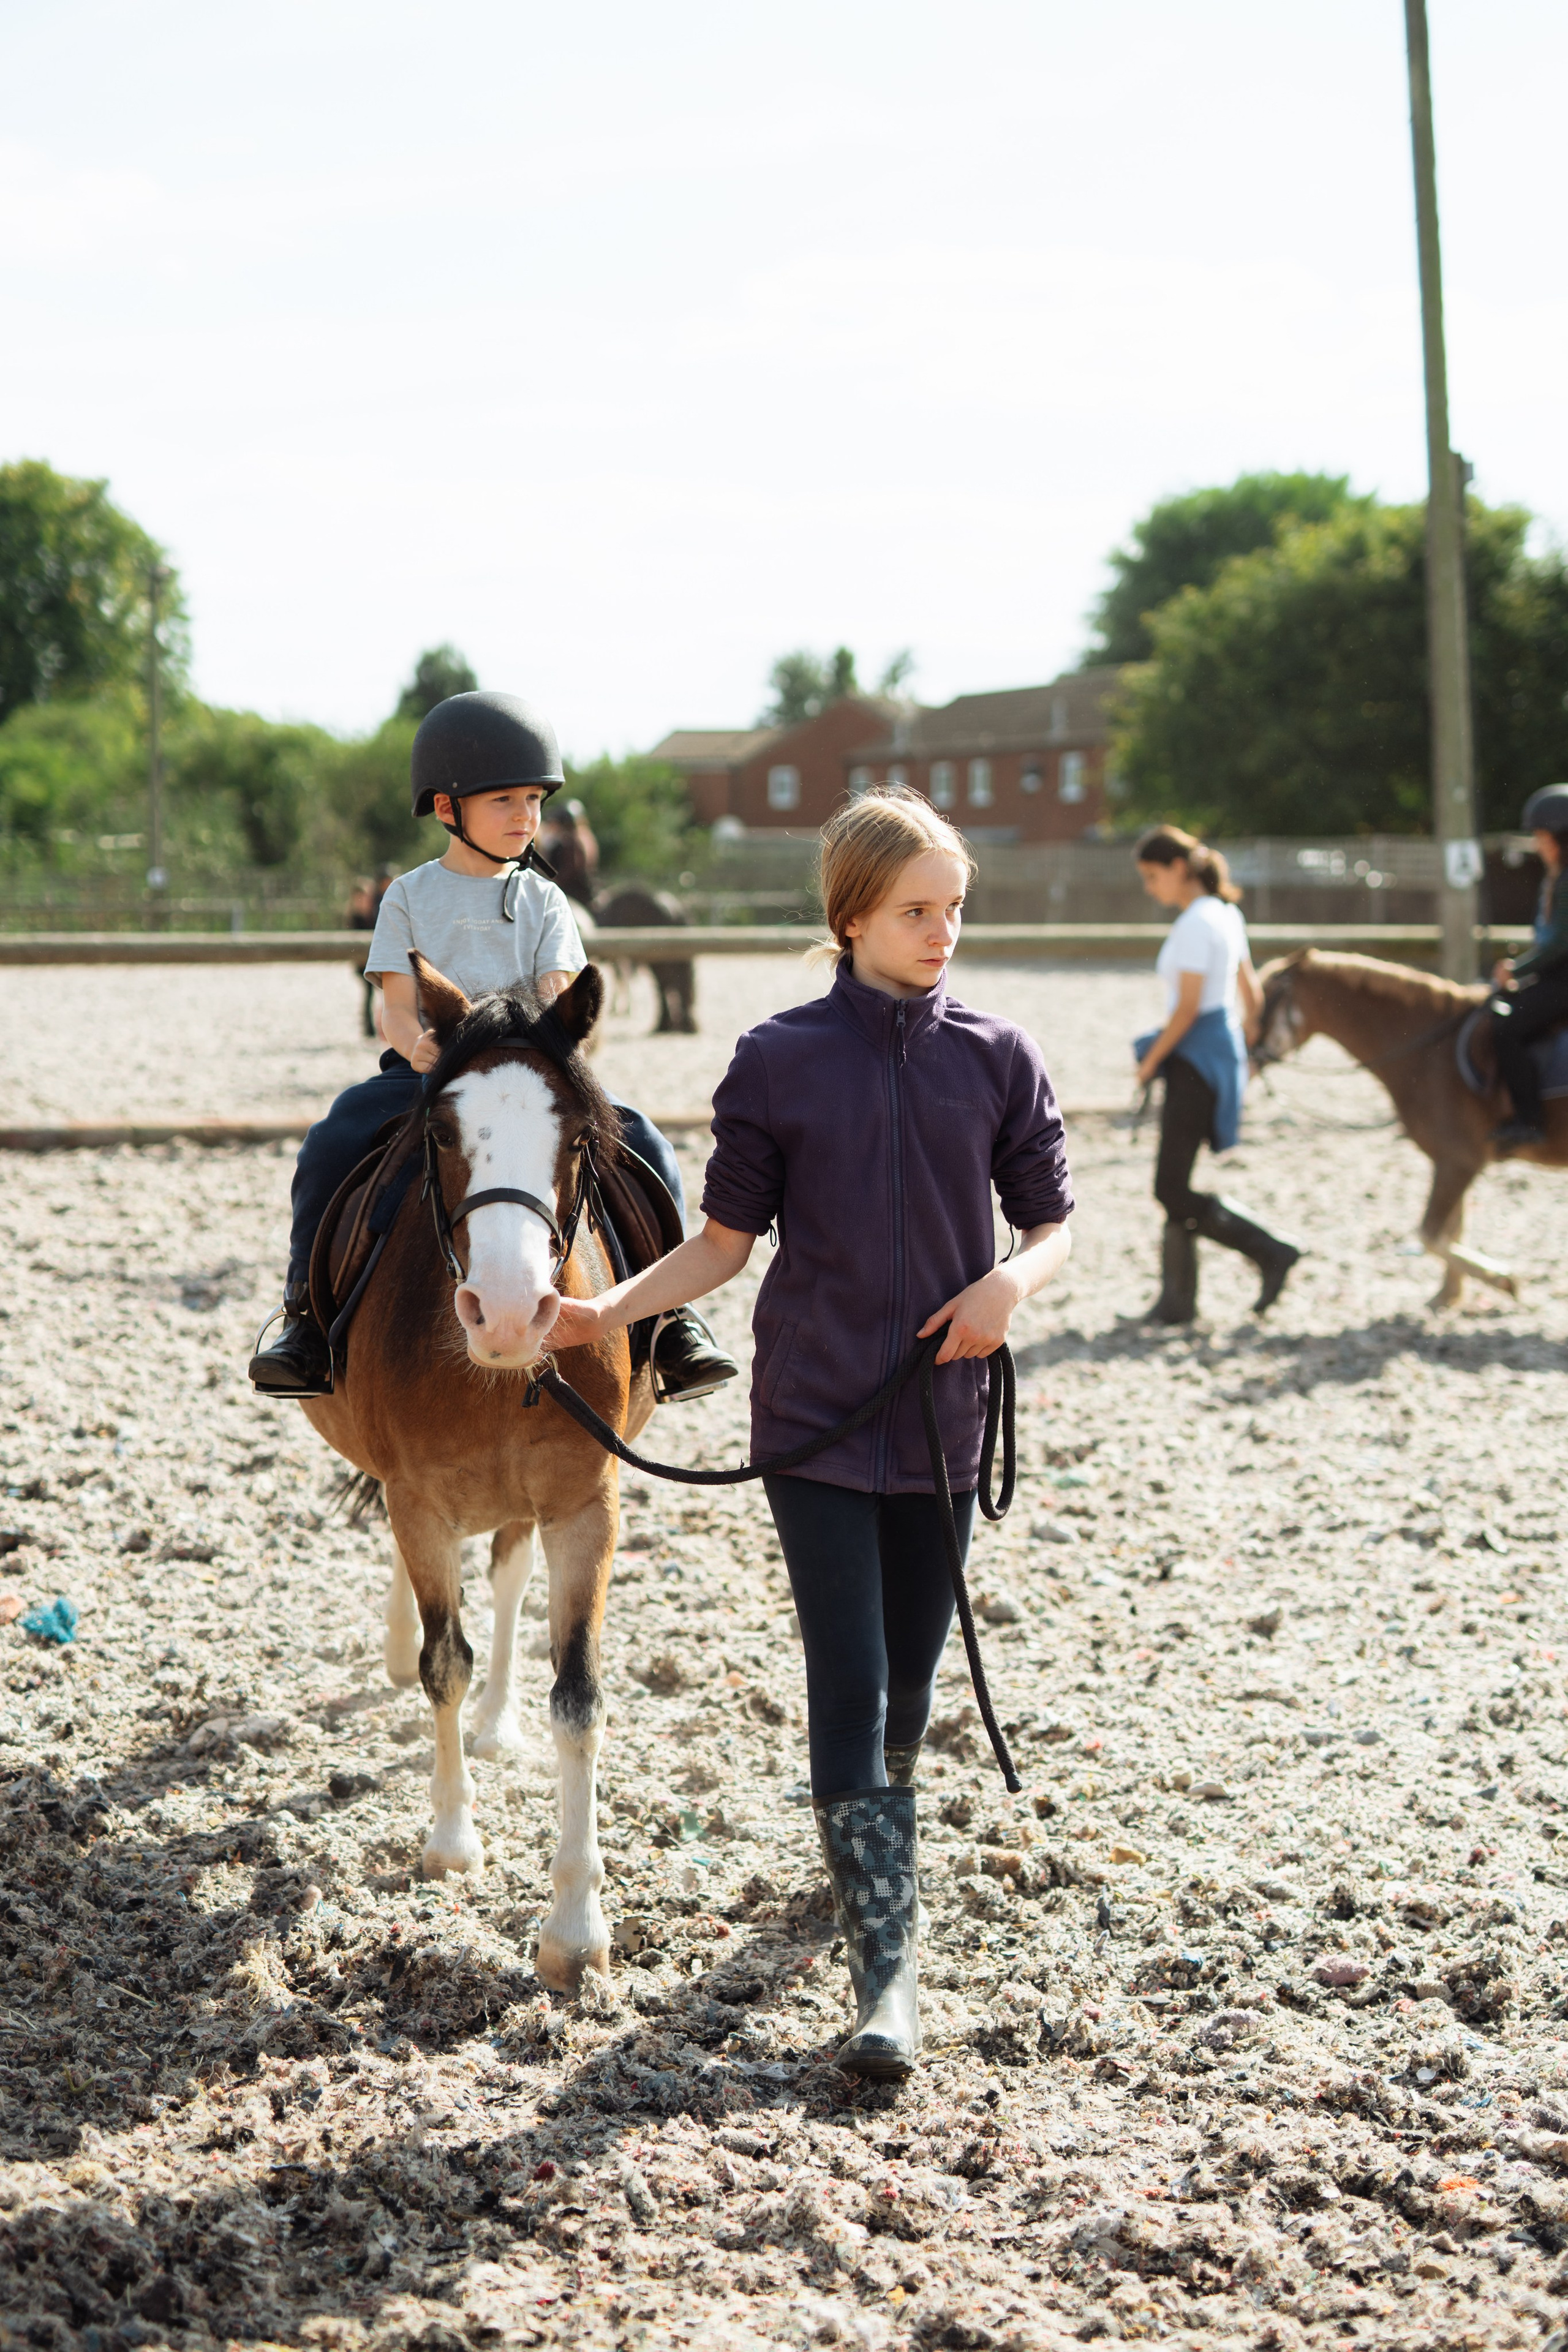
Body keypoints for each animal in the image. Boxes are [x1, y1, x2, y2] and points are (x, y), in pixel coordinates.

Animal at [301, 951, 655, 1990]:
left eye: (577, 1136)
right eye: (443, 1132)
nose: (506, 1313)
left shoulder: (586, 1505)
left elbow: (578, 1698)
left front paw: (575, 1927)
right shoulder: (419, 1499)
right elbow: (441, 1662)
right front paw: (453, 1841)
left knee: (506, 1572)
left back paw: (500, 1722)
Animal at [1255, 948, 1568, 1307]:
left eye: (1267, 997)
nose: (1249, 1053)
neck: (1432, 1052)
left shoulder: (1458, 1161)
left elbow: (1431, 1234)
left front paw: (1501, 1279)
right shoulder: (1451, 1161)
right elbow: (1451, 1230)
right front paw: (1448, 1296)